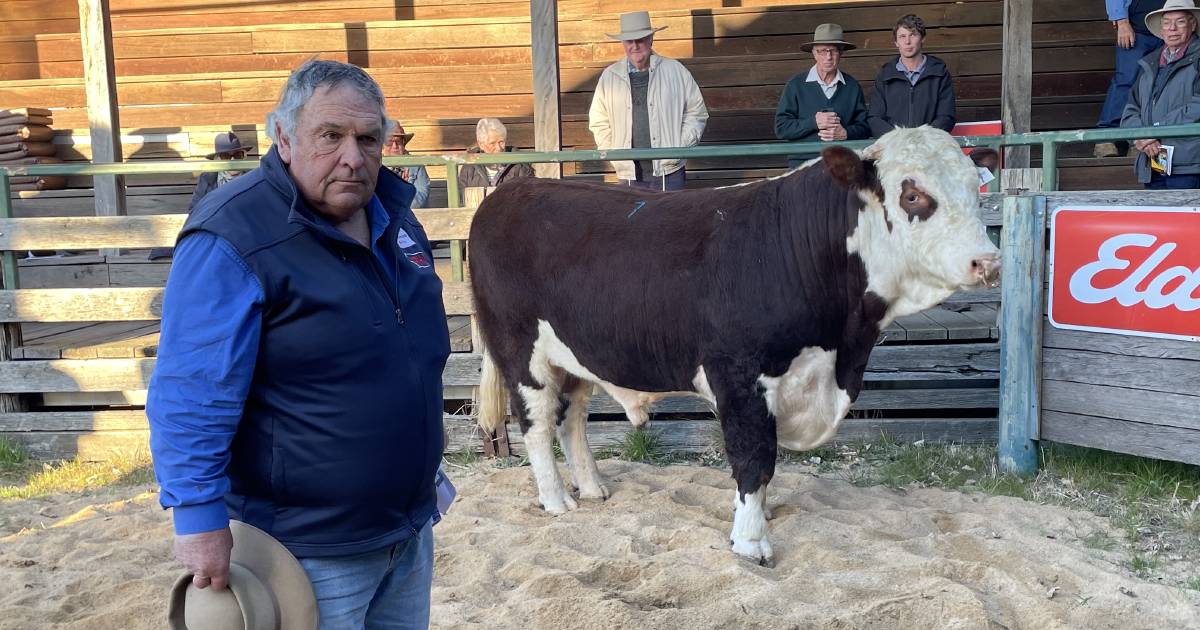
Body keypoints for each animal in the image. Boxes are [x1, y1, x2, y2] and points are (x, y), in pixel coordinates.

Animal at [468, 126, 1003, 564]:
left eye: (975, 190)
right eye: (913, 195)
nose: (988, 261)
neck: (841, 348)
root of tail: (511, 192)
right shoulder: (740, 375)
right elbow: (754, 458)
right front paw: (750, 540)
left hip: (578, 354)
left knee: (571, 417)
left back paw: (593, 488)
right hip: (519, 349)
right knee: (536, 422)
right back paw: (556, 500)